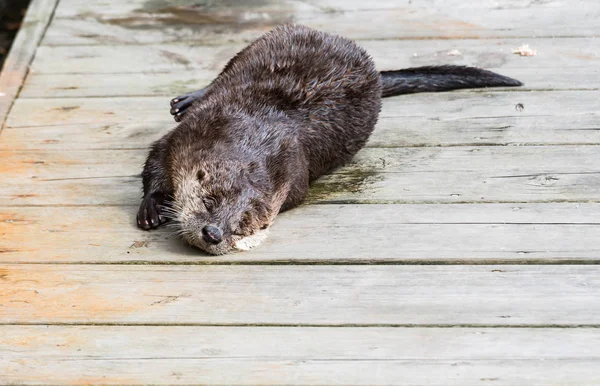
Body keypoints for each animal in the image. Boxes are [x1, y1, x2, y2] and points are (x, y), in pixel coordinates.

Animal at [138, 23, 524, 253]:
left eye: (243, 224)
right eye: (210, 200)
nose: (214, 233)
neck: (251, 137)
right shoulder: (188, 134)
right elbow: (154, 163)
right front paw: (151, 208)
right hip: (254, 47)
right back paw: (186, 99)